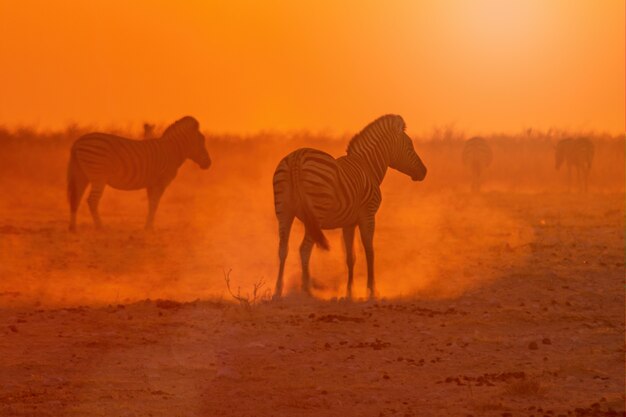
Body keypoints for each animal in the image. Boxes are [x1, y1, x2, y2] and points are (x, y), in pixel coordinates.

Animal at [67, 115, 211, 231]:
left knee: (76, 199)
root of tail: (77, 141)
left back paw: (73, 228)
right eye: (202, 141)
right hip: (98, 176)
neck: (172, 150)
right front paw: (149, 228)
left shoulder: (151, 184)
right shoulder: (161, 182)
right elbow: (154, 204)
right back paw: (100, 227)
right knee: (92, 201)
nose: (209, 163)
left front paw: (148, 226)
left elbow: (151, 204)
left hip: (81, 175)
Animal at [270, 114, 424, 300]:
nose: (424, 172)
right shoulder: (368, 215)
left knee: (282, 249)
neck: (368, 167)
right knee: (304, 249)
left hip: (284, 210)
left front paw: (350, 292)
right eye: (409, 145)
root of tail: (296, 158)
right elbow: (369, 251)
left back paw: (278, 291)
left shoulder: (348, 223)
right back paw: (307, 290)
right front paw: (371, 290)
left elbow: (350, 257)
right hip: (316, 213)